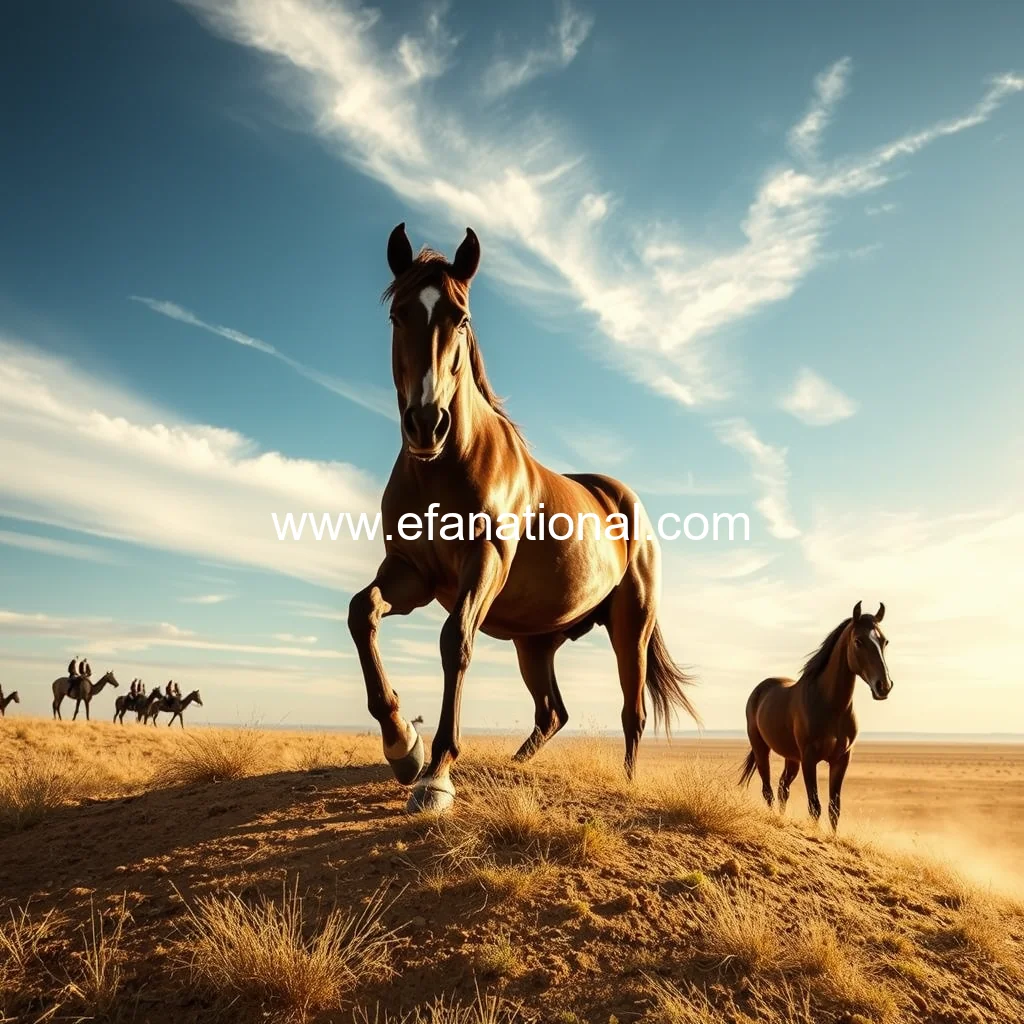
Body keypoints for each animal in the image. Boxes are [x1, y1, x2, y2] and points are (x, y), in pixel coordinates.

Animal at [347, 224, 700, 814]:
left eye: (461, 318)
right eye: (398, 315)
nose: (427, 424)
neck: (446, 466)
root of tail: (625, 501)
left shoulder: (483, 563)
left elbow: (455, 643)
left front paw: (437, 773)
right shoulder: (411, 574)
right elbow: (362, 613)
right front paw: (402, 746)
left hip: (631, 625)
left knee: (632, 712)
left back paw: (625, 786)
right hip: (535, 644)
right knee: (552, 711)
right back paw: (511, 767)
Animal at [738, 601, 893, 830]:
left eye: (884, 641)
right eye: (858, 641)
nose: (884, 686)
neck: (831, 707)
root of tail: (761, 688)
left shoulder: (841, 760)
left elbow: (834, 809)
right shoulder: (809, 759)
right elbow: (815, 807)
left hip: (791, 758)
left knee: (782, 788)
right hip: (761, 749)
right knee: (768, 790)